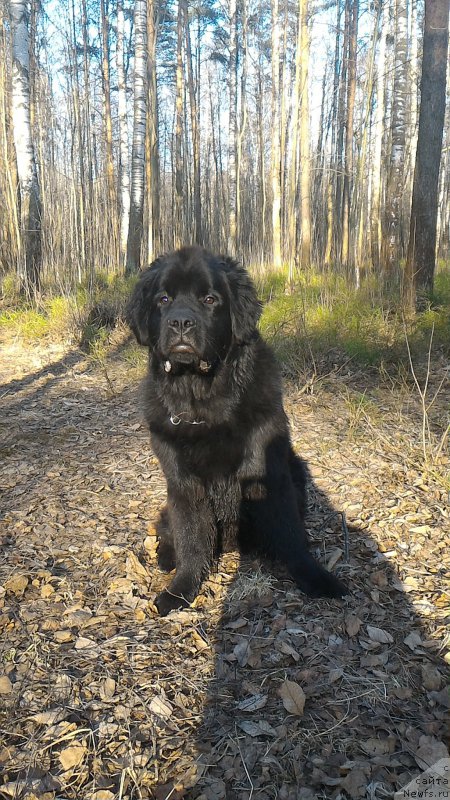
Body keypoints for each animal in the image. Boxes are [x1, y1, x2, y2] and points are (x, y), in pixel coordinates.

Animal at [127, 247, 348, 616]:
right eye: (163, 299)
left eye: (209, 299)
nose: (181, 322)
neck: (205, 403)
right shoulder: (183, 484)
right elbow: (190, 537)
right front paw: (181, 590)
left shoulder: (268, 473)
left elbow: (291, 535)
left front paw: (315, 577)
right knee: (169, 530)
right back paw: (166, 557)